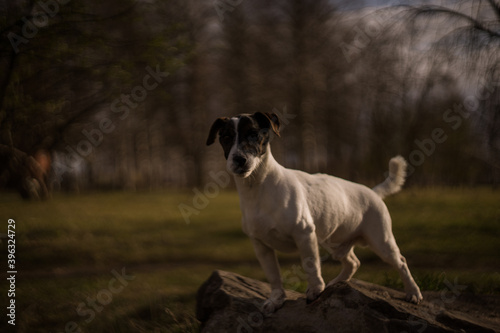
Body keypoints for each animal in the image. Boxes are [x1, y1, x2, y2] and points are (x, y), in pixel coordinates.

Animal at [206, 111, 422, 312]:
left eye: (253, 134)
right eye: (226, 137)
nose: (239, 159)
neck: (258, 188)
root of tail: (374, 191)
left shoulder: (304, 234)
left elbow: (310, 264)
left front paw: (315, 290)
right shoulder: (261, 246)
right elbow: (273, 276)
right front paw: (276, 299)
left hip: (381, 241)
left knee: (400, 262)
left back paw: (413, 293)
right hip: (335, 243)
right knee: (353, 262)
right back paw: (337, 283)